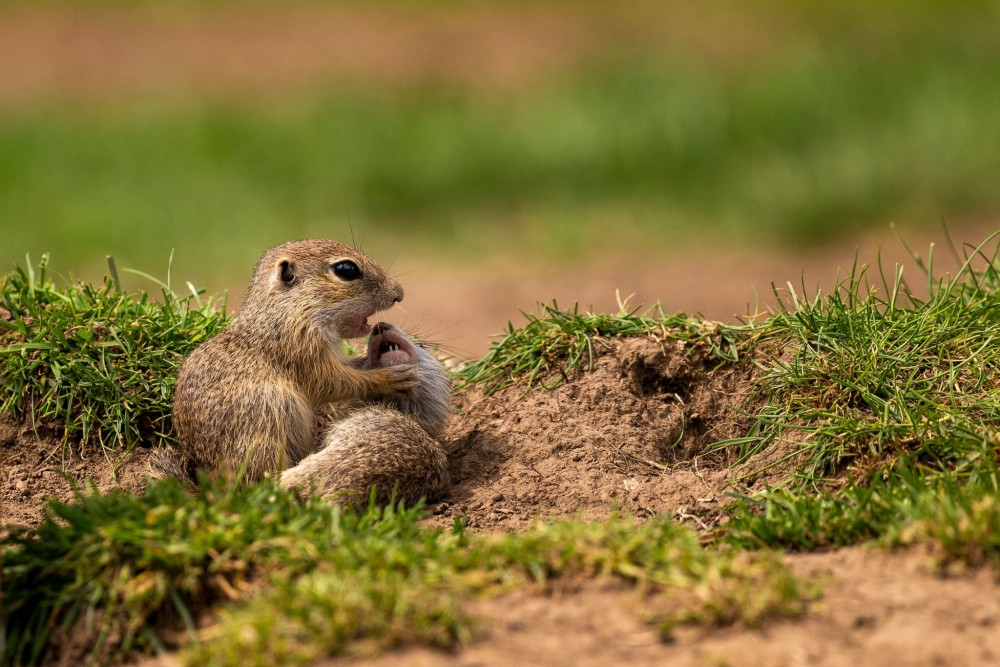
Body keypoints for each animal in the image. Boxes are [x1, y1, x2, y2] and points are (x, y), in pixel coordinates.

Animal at [173, 243, 422, 482]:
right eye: (346, 269)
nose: (398, 293)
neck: (288, 313)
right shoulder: (304, 354)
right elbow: (336, 383)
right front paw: (388, 378)